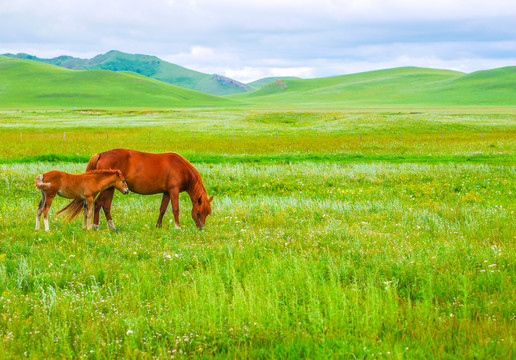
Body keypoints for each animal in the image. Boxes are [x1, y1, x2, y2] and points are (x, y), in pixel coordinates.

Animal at [59, 150, 214, 231]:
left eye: (207, 213)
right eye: (198, 213)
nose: (201, 228)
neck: (181, 168)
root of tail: (101, 154)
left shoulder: (167, 192)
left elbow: (162, 209)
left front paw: (158, 226)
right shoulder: (173, 190)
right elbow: (175, 209)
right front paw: (177, 227)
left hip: (111, 188)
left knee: (105, 205)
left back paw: (111, 227)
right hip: (108, 188)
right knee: (99, 204)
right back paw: (97, 226)